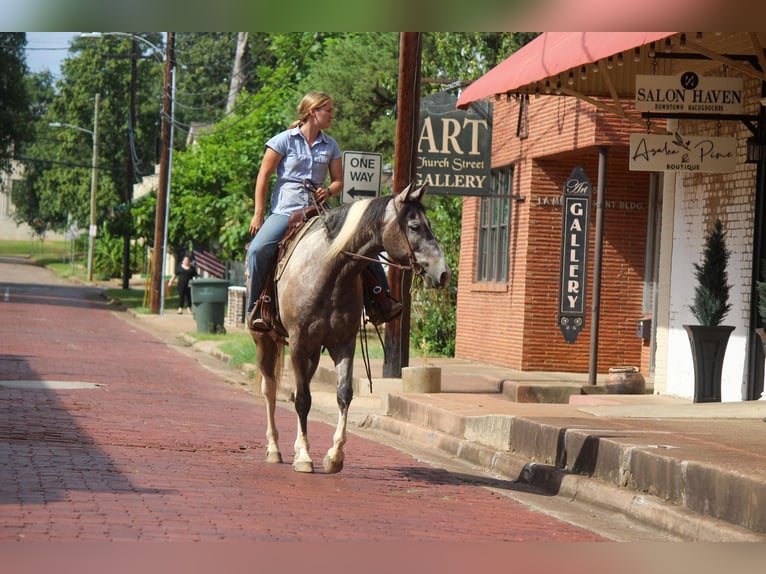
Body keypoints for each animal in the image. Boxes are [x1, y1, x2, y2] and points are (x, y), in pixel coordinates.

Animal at [249, 182, 450, 474]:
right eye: (414, 226)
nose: (443, 273)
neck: (329, 272)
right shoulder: (298, 342)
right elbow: (302, 400)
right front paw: (304, 457)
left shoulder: (343, 343)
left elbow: (343, 394)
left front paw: (334, 456)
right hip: (265, 340)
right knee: (270, 389)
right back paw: (274, 448)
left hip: (312, 352)